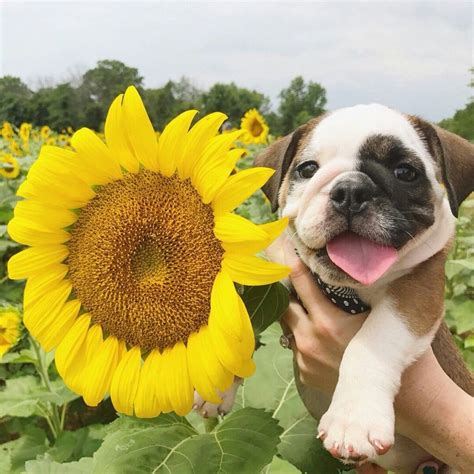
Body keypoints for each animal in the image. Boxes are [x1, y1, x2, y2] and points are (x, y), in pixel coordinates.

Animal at [254, 104, 474, 474]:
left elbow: (372, 341)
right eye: (307, 169)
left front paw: (353, 420)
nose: (350, 191)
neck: (345, 291)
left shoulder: (418, 291)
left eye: (405, 172)